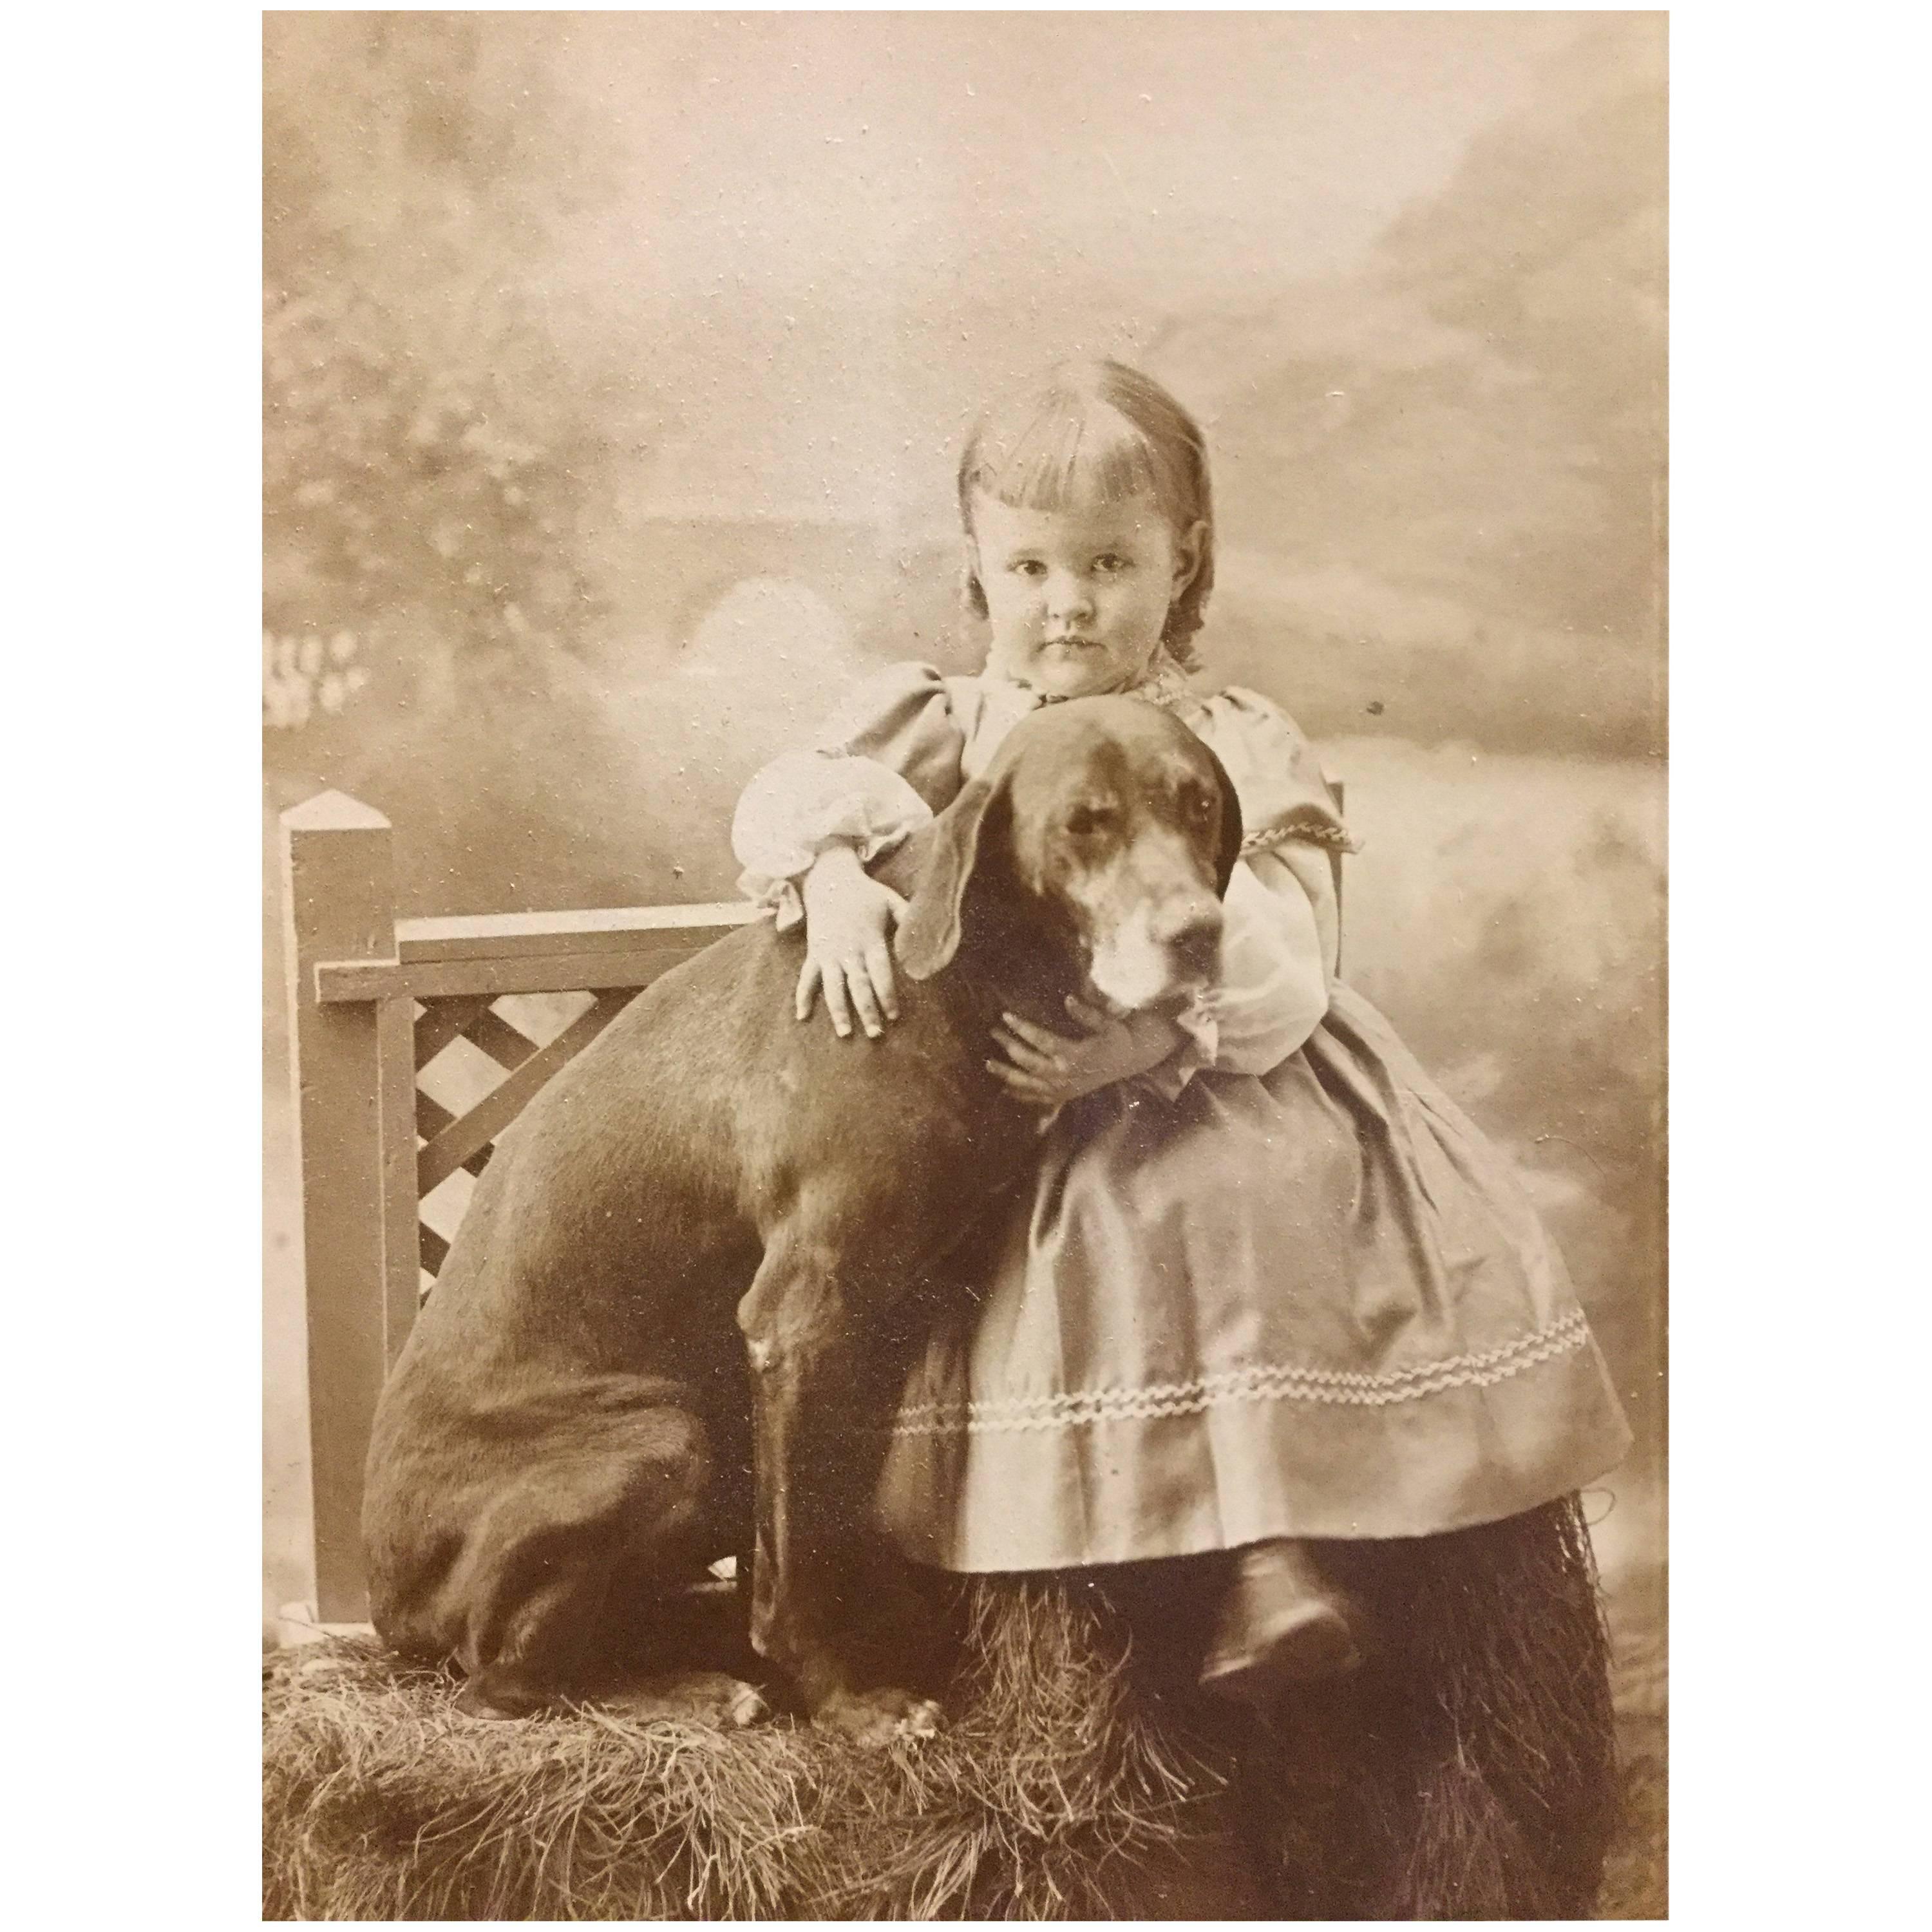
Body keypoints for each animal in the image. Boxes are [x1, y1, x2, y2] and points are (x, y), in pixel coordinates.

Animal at [361, 692, 1236, 1739]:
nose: (1200, 934)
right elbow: (801, 1554)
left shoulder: (893, 1315)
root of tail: (385, 1607)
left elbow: (826, 1522)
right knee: (504, 1681)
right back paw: (686, 1694)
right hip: (665, 1439)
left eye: (1198, 805)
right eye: (1085, 822)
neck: (965, 968)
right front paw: (846, 1698)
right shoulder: (799, 1318)